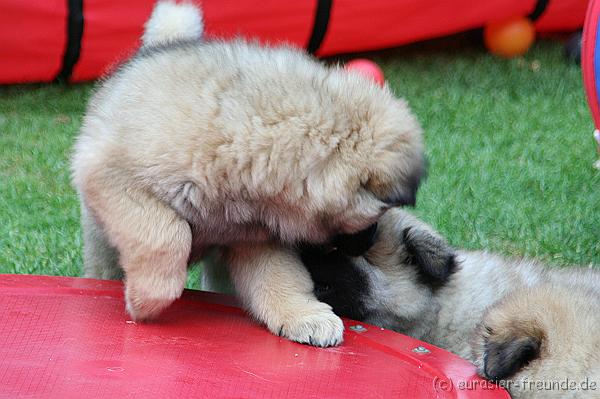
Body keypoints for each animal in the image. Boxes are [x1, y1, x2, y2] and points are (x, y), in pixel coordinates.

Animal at [70, 1, 424, 348]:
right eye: (376, 213)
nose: (371, 240)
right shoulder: (113, 177)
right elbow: (168, 234)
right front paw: (146, 301)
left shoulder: (254, 237)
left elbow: (280, 278)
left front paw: (304, 316)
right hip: (102, 241)